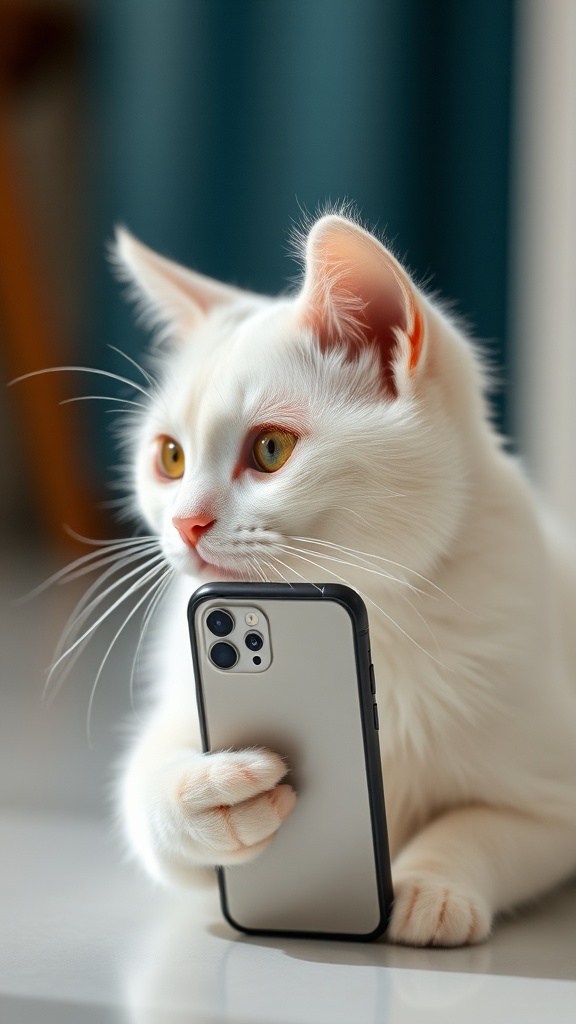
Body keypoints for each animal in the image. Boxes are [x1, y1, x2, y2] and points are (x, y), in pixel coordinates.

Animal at [113, 214, 573, 942]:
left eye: (271, 449)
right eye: (170, 458)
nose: (184, 523)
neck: (379, 618)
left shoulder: (555, 796)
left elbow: (480, 825)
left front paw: (431, 884)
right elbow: (143, 797)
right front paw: (209, 799)